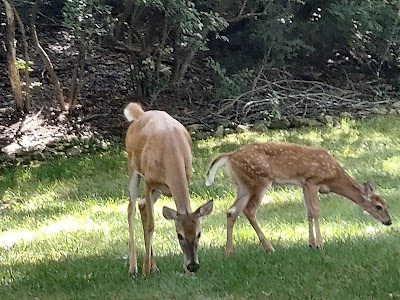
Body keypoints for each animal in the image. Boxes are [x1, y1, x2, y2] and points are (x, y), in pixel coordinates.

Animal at [124, 102, 212, 276]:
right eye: (179, 236)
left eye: (199, 233)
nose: (193, 265)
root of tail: (140, 114)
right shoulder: (149, 181)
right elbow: (151, 225)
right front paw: (145, 270)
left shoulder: (185, 178)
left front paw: (186, 272)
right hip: (132, 167)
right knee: (131, 208)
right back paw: (134, 267)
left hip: (158, 190)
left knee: (142, 205)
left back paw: (154, 266)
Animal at [206, 142, 390, 254]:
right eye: (378, 206)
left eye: (386, 204)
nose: (389, 221)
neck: (333, 176)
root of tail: (229, 156)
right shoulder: (312, 180)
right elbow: (315, 211)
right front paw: (320, 244)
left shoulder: (304, 184)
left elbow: (308, 212)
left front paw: (311, 244)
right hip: (259, 180)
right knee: (249, 210)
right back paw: (269, 248)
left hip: (243, 185)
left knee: (232, 211)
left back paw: (229, 251)